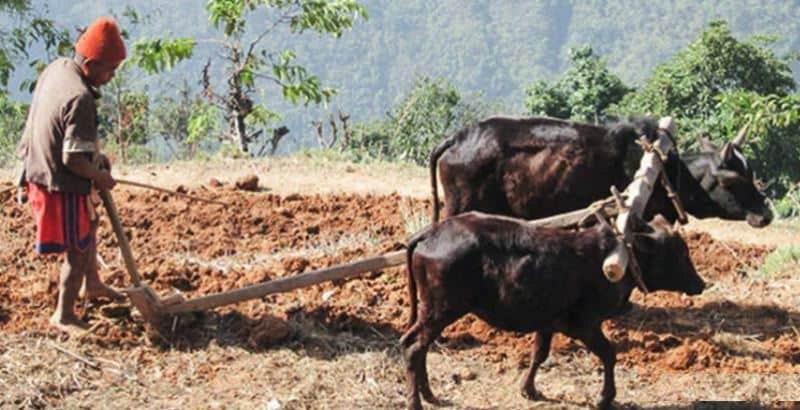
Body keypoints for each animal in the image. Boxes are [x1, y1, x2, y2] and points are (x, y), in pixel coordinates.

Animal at [401, 212, 705, 410]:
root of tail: (432, 232)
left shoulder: (548, 323)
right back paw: (416, 402)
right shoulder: (585, 324)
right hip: (440, 310)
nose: (700, 284)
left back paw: (429, 395)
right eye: (680, 252)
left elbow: (539, 354)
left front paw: (529, 390)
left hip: (432, 311)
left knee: (420, 347)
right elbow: (609, 354)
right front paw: (605, 397)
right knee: (413, 346)